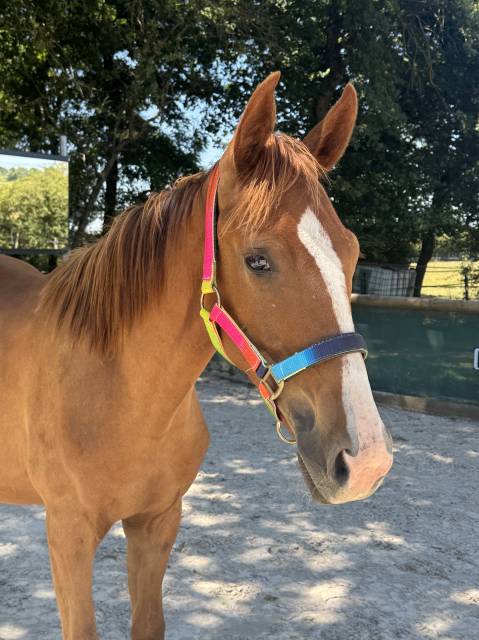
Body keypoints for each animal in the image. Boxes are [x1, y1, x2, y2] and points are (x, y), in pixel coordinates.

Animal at [0, 72, 393, 639]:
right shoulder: (67, 536)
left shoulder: (158, 522)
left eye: (352, 250)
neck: (121, 394)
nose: (366, 461)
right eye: (257, 259)